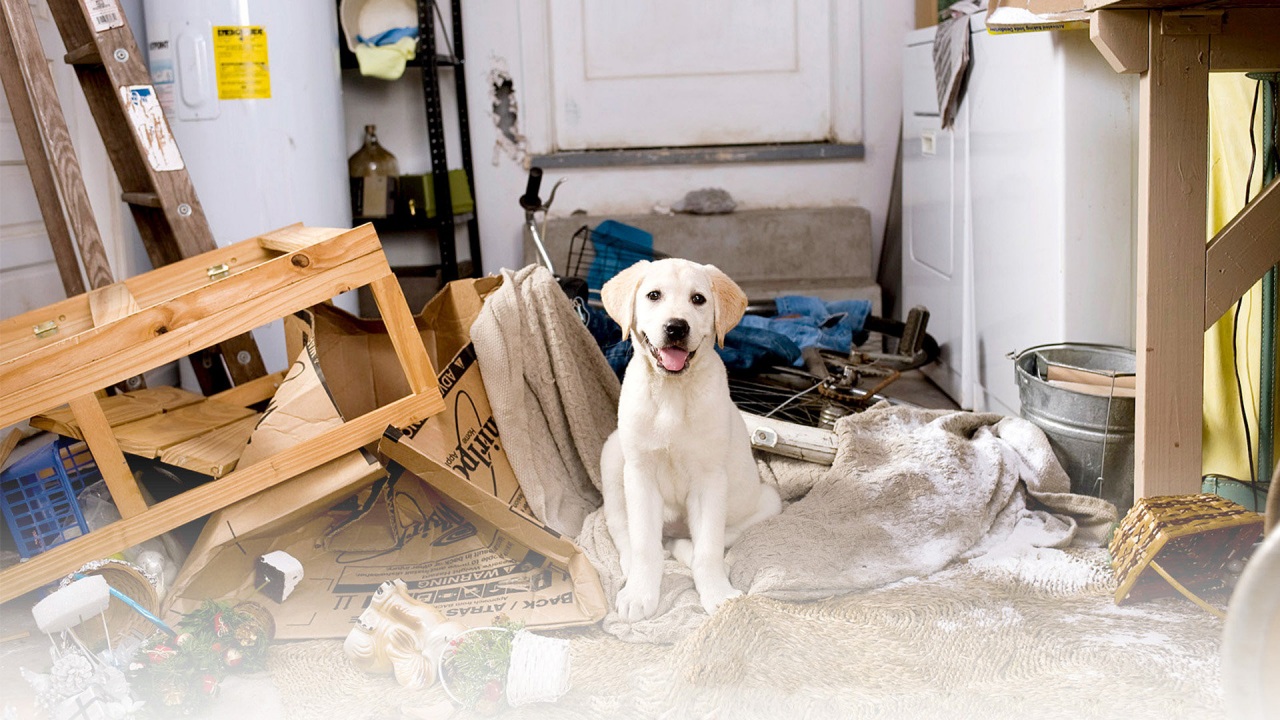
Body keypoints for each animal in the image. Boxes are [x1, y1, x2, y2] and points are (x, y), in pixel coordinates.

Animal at [599, 257, 778, 617]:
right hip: (612, 456)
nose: (676, 327)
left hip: (766, 501)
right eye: (654, 295)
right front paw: (640, 593)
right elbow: (643, 543)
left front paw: (717, 593)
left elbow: (708, 547)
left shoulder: (710, 480)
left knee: (701, 541)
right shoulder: (639, 474)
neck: (672, 392)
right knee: (622, 529)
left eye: (698, 299)